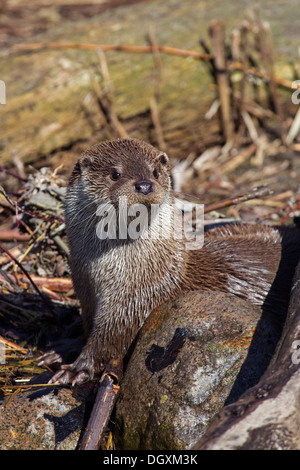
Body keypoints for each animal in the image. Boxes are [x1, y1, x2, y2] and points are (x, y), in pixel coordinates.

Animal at [40, 137, 300, 386]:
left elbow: (110, 338)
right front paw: (64, 346)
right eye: (115, 174)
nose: (144, 185)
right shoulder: (83, 288)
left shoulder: (136, 299)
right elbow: (87, 325)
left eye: (154, 172)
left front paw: (77, 369)